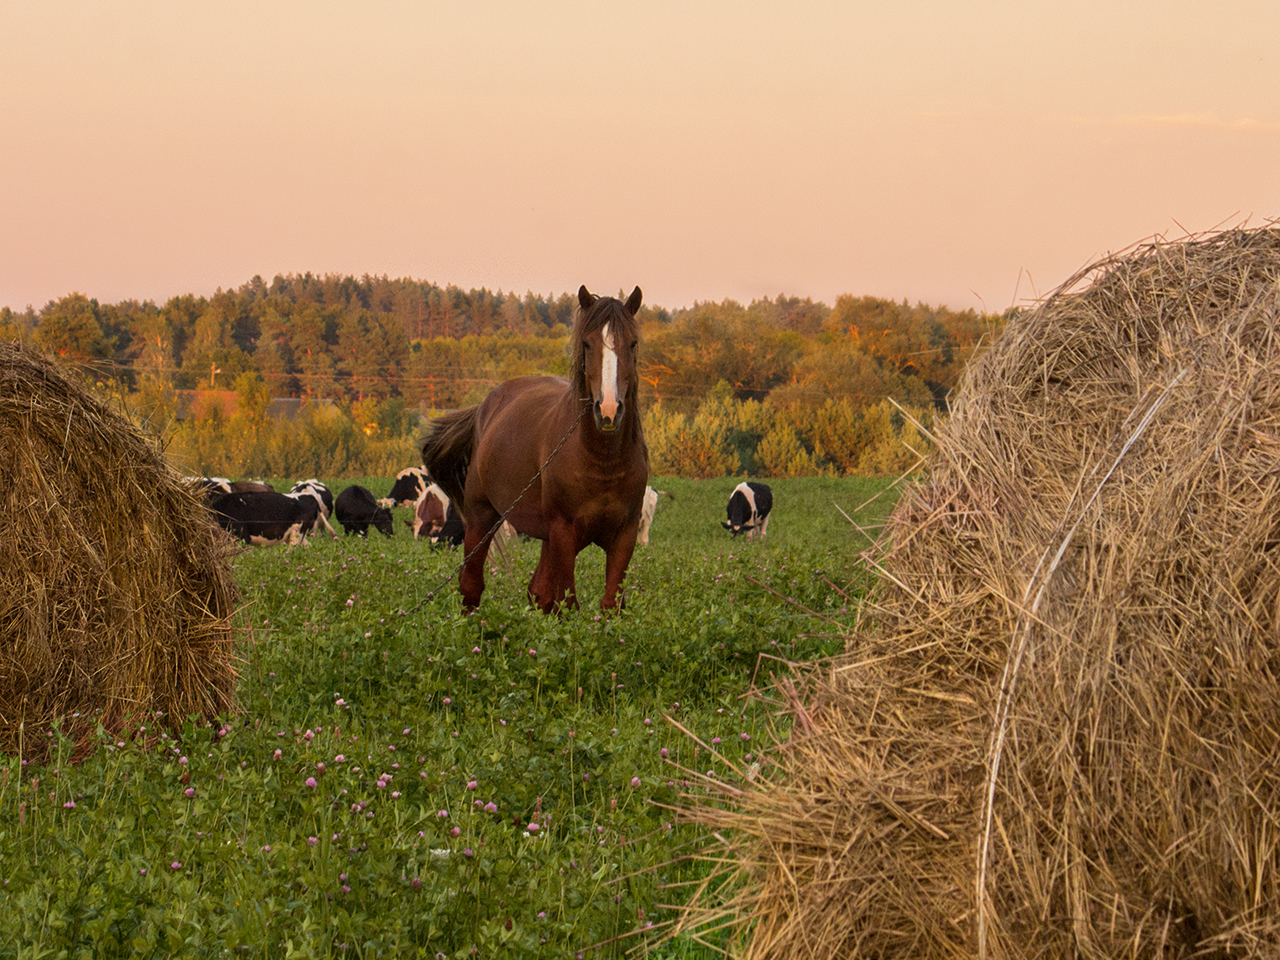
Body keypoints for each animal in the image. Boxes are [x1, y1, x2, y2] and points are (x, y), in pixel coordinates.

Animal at [422, 288, 650, 616]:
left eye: (632, 344)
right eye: (587, 343)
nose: (608, 410)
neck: (603, 463)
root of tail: (486, 406)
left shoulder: (624, 536)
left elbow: (609, 606)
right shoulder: (564, 532)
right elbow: (569, 603)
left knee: (538, 592)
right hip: (481, 517)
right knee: (471, 585)